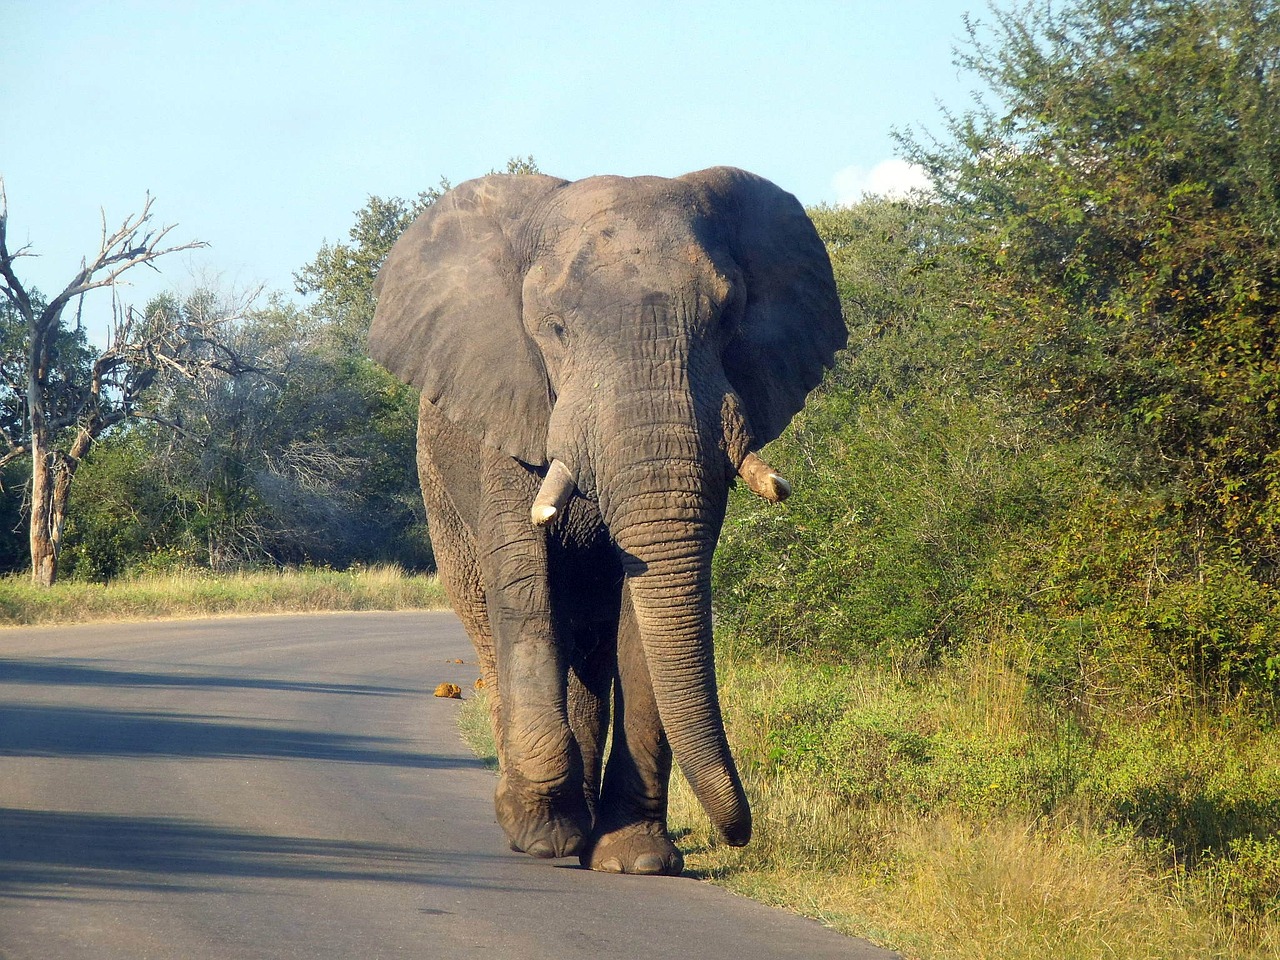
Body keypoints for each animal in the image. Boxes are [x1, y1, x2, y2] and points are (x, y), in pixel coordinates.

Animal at [366, 167, 844, 880]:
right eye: (555, 328)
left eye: (728, 317)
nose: (740, 834)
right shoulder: (510, 415)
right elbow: (526, 586)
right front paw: (542, 835)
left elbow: (643, 615)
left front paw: (638, 859)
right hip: (443, 507)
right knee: (501, 628)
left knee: (589, 651)